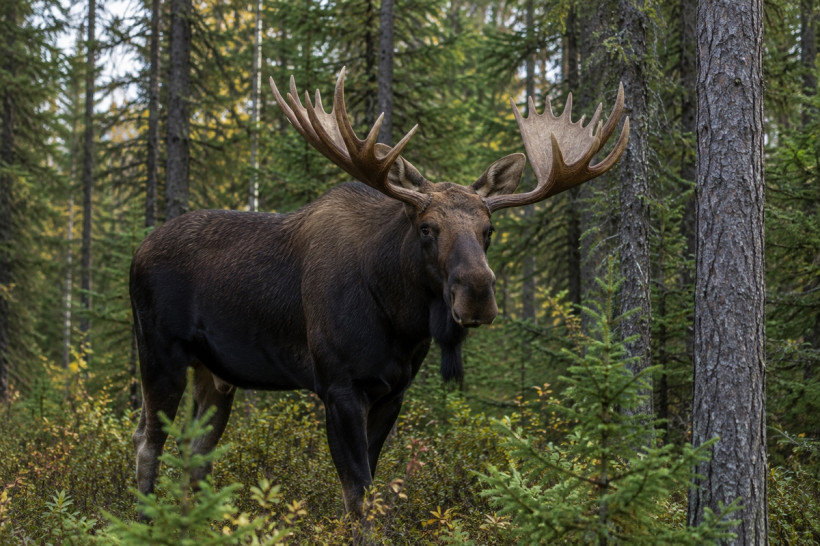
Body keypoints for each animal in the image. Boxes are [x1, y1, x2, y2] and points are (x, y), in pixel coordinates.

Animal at [129, 67, 629, 516]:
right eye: (427, 228)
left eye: (489, 230)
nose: (478, 295)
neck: (398, 318)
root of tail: (136, 253)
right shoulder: (338, 386)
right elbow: (358, 492)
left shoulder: (393, 392)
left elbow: (371, 485)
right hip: (160, 354)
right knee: (148, 443)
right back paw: (142, 521)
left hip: (216, 374)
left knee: (195, 456)